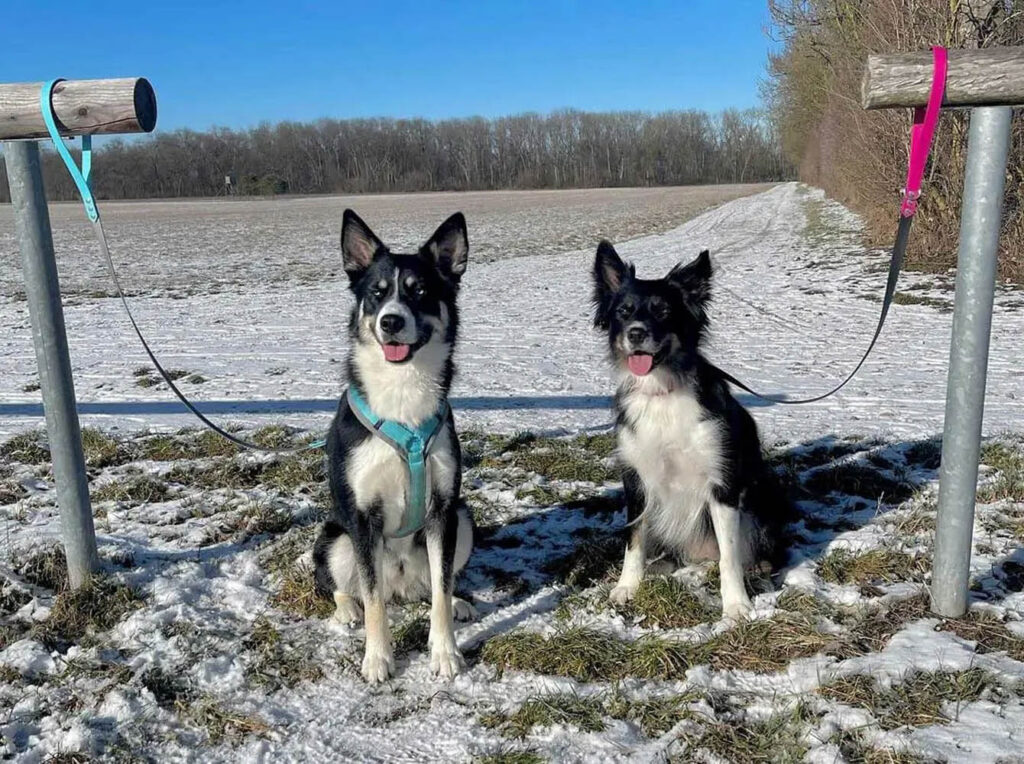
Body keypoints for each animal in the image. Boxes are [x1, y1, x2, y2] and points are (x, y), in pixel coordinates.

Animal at [311, 209, 475, 684]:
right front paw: (378, 658)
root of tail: (403, 583)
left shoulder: (443, 509)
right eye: (376, 294)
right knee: (344, 587)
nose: (391, 321)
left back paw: (458, 602)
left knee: (435, 586)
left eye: (420, 292)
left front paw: (444, 653)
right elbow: (372, 599)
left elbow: (442, 586)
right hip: (334, 538)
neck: (402, 397)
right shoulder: (363, 517)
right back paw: (347, 609)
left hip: (464, 519)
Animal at [589, 240, 786, 614]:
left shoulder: (722, 484)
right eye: (623, 311)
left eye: (663, 310)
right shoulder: (636, 479)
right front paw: (627, 587)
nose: (636, 333)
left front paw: (736, 607)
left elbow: (729, 555)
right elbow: (634, 539)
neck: (662, 391)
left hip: (761, 498)